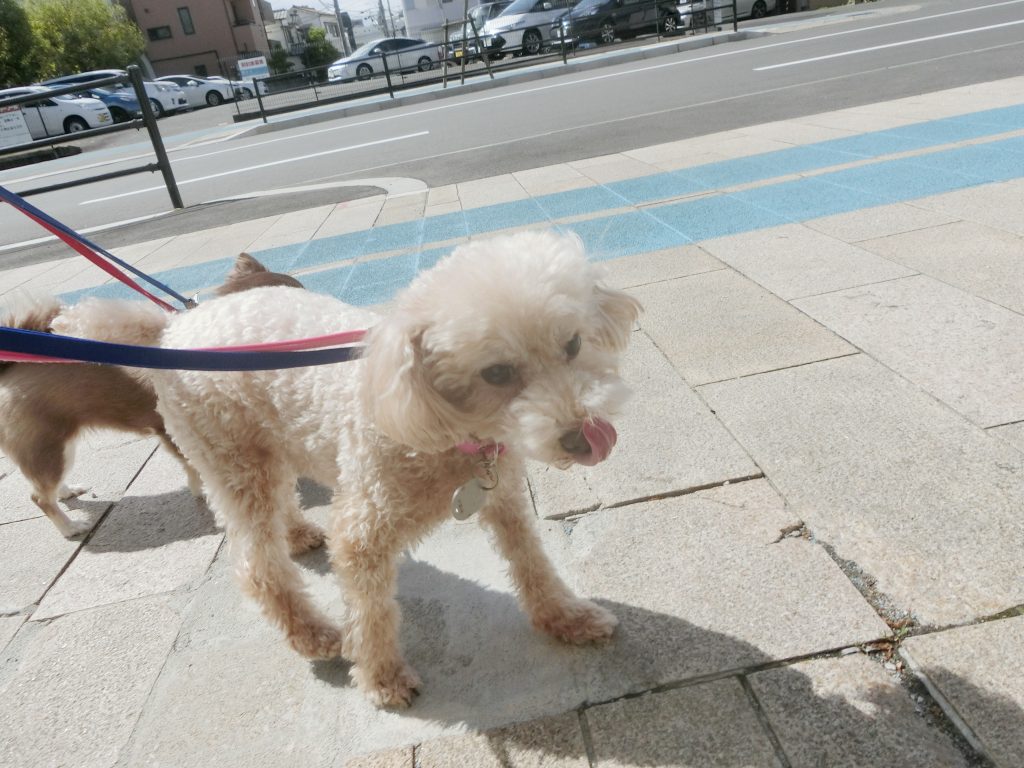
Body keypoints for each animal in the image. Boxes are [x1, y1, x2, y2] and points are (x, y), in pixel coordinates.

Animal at [0, 253, 302, 539]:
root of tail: (10, 369)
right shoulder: (175, 430)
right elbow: (199, 465)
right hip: (46, 446)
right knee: (39, 496)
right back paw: (70, 527)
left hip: (57, 446)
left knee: (47, 483)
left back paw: (66, 491)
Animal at [151, 230, 642, 707]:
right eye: (496, 373)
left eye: (573, 344)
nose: (585, 438)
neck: (446, 429)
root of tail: (176, 327)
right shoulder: (363, 531)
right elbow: (372, 611)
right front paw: (381, 679)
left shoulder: (503, 498)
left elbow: (531, 560)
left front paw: (566, 617)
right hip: (228, 453)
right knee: (258, 564)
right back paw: (314, 635)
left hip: (271, 442)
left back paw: (299, 533)